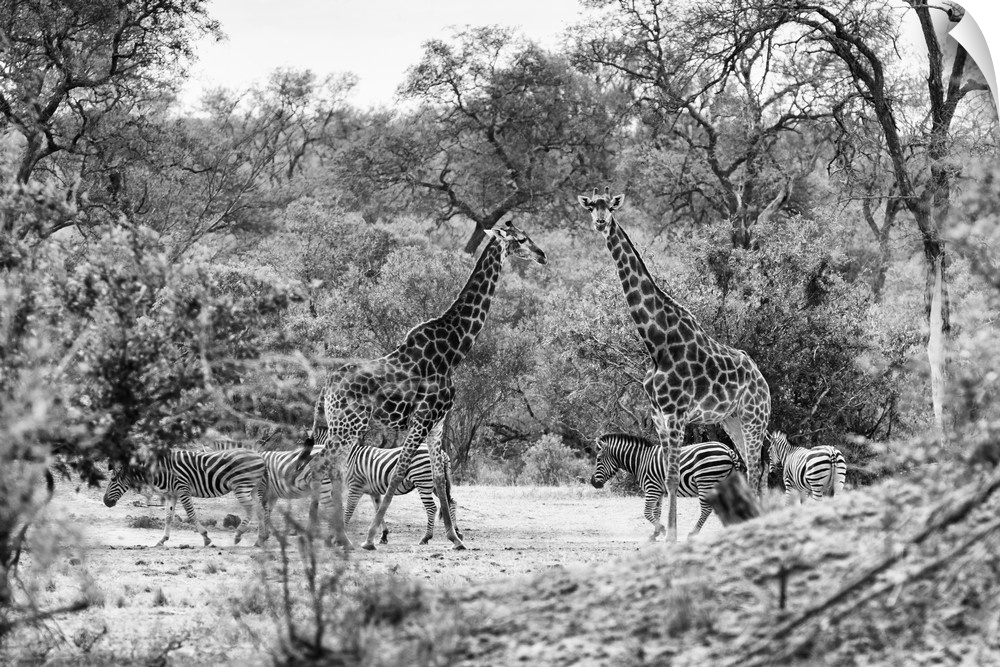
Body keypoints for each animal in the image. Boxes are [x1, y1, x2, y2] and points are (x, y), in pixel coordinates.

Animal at [101, 448, 270, 548]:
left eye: (112, 480)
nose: (105, 502)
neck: (159, 470)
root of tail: (260, 457)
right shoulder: (172, 494)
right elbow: (168, 517)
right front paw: (162, 540)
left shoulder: (183, 490)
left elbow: (191, 514)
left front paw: (206, 538)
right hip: (252, 488)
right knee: (260, 509)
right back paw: (261, 539)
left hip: (242, 486)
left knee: (252, 509)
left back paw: (239, 534)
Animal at [310, 222, 548, 552]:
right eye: (522, 239)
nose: (542, 255)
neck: (453, 351)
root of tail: (327, 387)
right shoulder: (422, 418)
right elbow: (398, 472)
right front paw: (371, 538)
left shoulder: (437, 422)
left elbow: (438, 479)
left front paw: (455, 539)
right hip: (350, 424)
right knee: (324, 466)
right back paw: (339, 537)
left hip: (337, 424)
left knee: (323, 466)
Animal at [584, 436, 744, 540]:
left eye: (598, 459)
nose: (593, 482)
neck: (641, 460)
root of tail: (728, 450)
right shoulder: (658, 490)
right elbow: (656, 512)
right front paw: (656, 533)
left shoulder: (652, 487)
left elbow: (647, 512)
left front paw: (661, 529)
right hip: (724, 481)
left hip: (706, 481)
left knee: (706, 509)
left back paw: (693, 533)